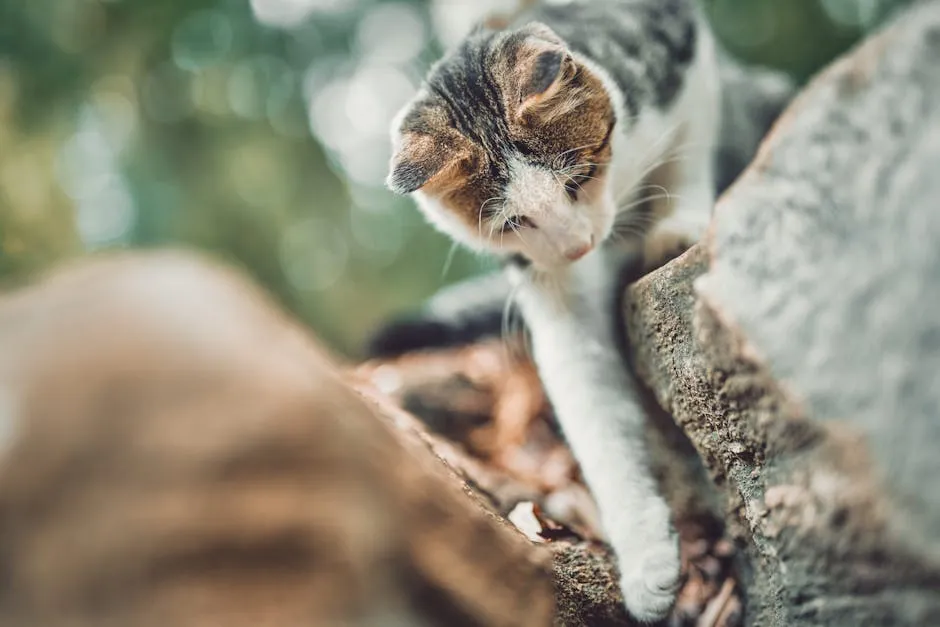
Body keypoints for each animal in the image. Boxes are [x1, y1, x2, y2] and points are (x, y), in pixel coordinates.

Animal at [380, 0, 784, 620]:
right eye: (513, 223)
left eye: (579, 178)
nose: (577, 247)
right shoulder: (549, 288)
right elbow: (592, 411)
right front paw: (645, 560)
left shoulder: (683, 52)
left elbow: (688, 152)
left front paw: (678, 223)